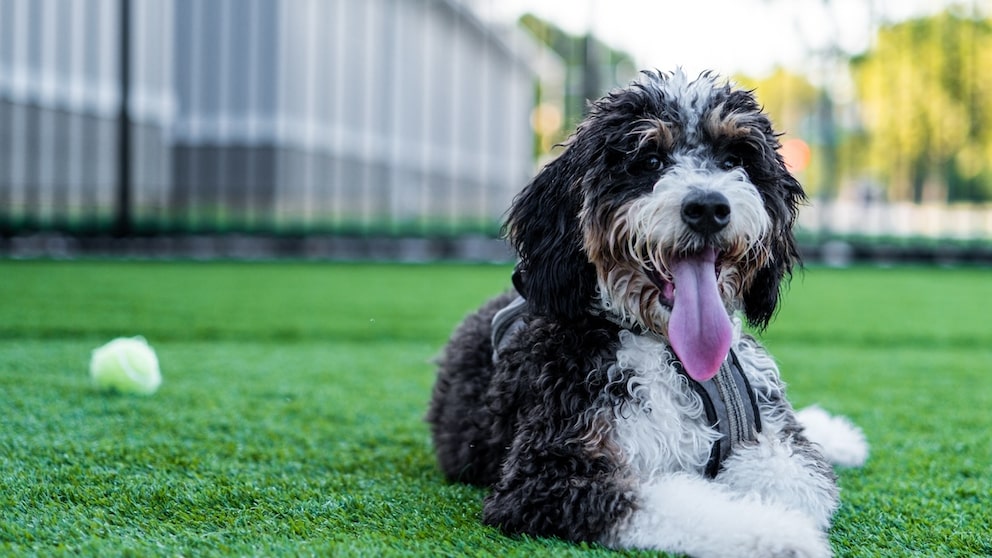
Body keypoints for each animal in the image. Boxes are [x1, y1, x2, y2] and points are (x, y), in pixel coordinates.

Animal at [426, 71, 868, 558]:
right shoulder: (550, 473)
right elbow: (674, 498)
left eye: (734, 159)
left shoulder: (776, 443)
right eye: (649, 160)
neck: (673, 355)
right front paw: (781, 535)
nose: (708, 207)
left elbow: (799, 480)